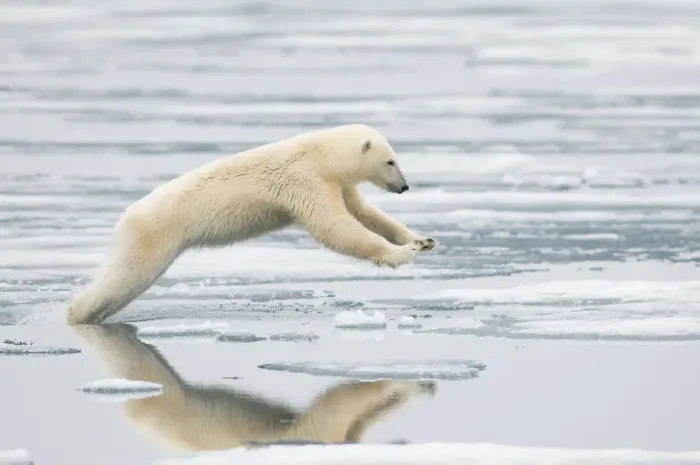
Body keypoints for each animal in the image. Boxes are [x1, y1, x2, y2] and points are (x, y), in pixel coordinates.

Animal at [66, 124, 436, 325]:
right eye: (391, 161)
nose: (404, 186)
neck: (320, 156)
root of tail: (125, 217)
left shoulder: (337, 183)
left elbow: (363, 212)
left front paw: (421, 239)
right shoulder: (302, 180)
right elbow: (335, 227)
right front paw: (401, 253)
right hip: (152, 234)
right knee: (122, 277)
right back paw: (75, 313)